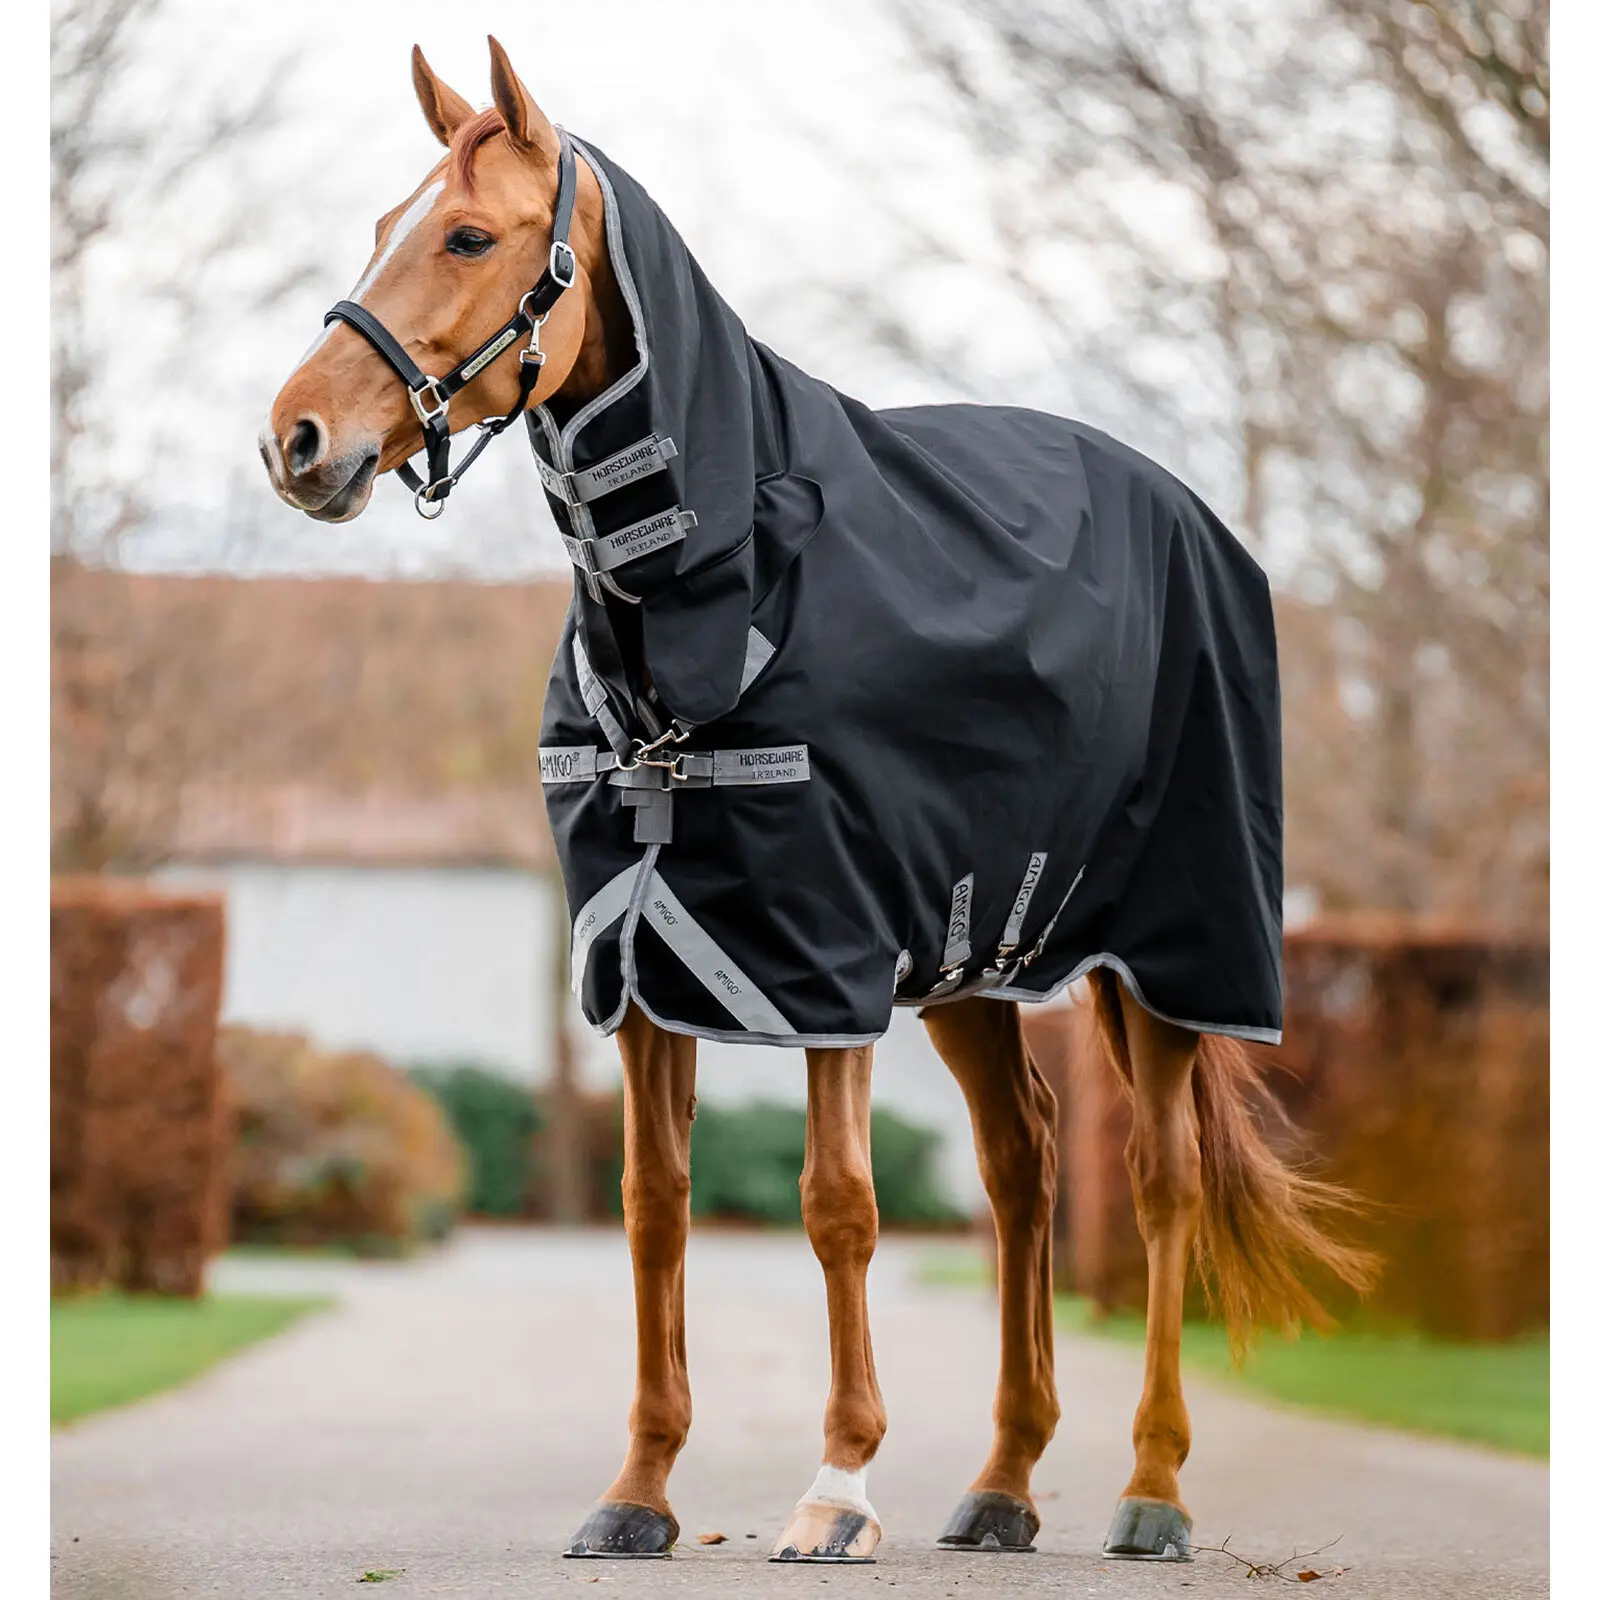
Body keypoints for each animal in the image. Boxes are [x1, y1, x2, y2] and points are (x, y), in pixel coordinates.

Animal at [261, 38, 1373, 1566]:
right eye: (385, 225)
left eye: (470, 236)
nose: (296, 440)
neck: (716, 599)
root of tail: (1192, 516)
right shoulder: (643, 959)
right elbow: (654, 1209)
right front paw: (638, 1491)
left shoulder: (825, 954)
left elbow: (839, 1205)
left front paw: (838, 1486)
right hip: (971, 958)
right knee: (1023, 1167)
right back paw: (1003, 1484)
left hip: (1173, 953)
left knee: (1156, 1184)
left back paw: (1151, 1489)